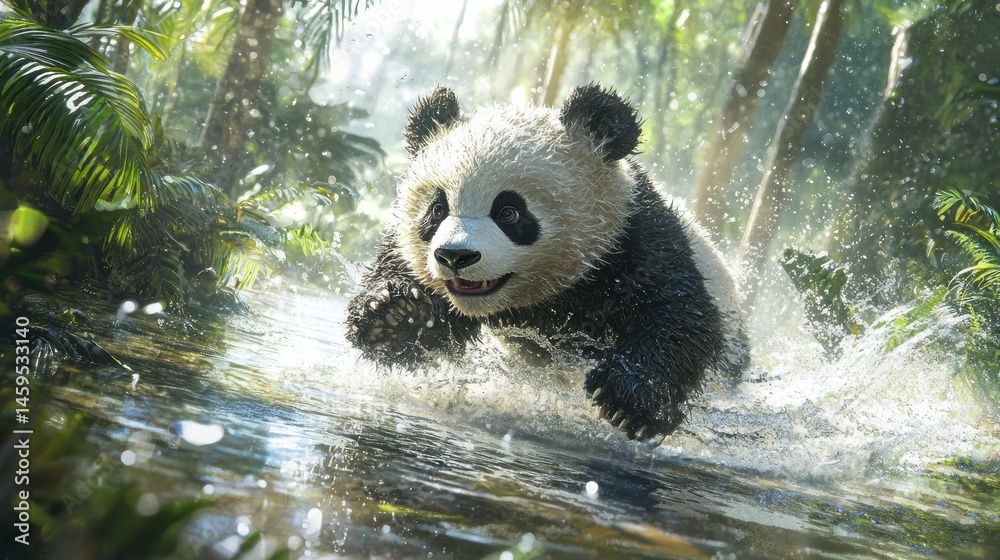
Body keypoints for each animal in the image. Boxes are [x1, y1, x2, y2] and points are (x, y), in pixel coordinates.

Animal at [346, 84, 749, 441]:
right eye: (437, 209)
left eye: (509, 212)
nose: (455, 257)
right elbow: (418, 319)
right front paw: (392, 314)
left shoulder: (636, 240)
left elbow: (680, 317)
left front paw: (626, 398)